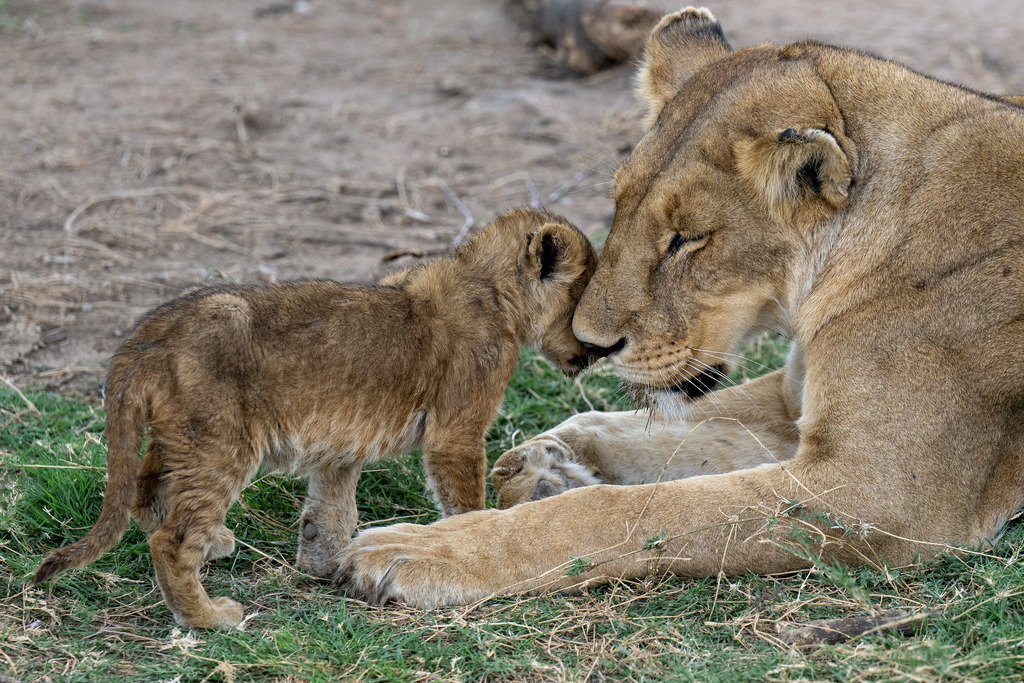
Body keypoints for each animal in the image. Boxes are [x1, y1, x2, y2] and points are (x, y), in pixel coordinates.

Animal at [33, 207, 597, 629]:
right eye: (585, 297)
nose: (601, 351)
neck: (490, 286)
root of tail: (144, 337)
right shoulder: (455, 430)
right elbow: (463, 503)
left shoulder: (342, 438)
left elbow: (331, 510)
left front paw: (325, 565)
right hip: (220, 441)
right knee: (170, 539)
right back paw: (210, 617)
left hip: (176, 435)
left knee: (145, 492)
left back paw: (214, 543)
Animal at [332, 7, 1024, 608]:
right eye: (619, 202)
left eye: (688, 238)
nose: (593, 344)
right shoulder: (790, 406)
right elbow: (656, 432)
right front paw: (544, 465)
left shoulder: (884, 495)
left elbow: (633, 509)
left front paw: (428, 549)